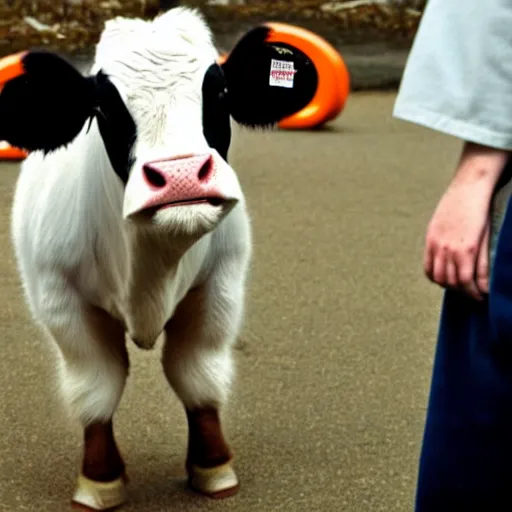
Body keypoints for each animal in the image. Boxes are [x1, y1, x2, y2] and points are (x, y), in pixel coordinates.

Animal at [0, 6, 318, 510]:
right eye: (103, 107)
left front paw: (213, 466)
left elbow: (198, 375)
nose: (181, 176)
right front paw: (100, 479)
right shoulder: (61, 300)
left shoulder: (220, 286)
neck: (153, 264)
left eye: (219, 91)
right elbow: (96, 386)